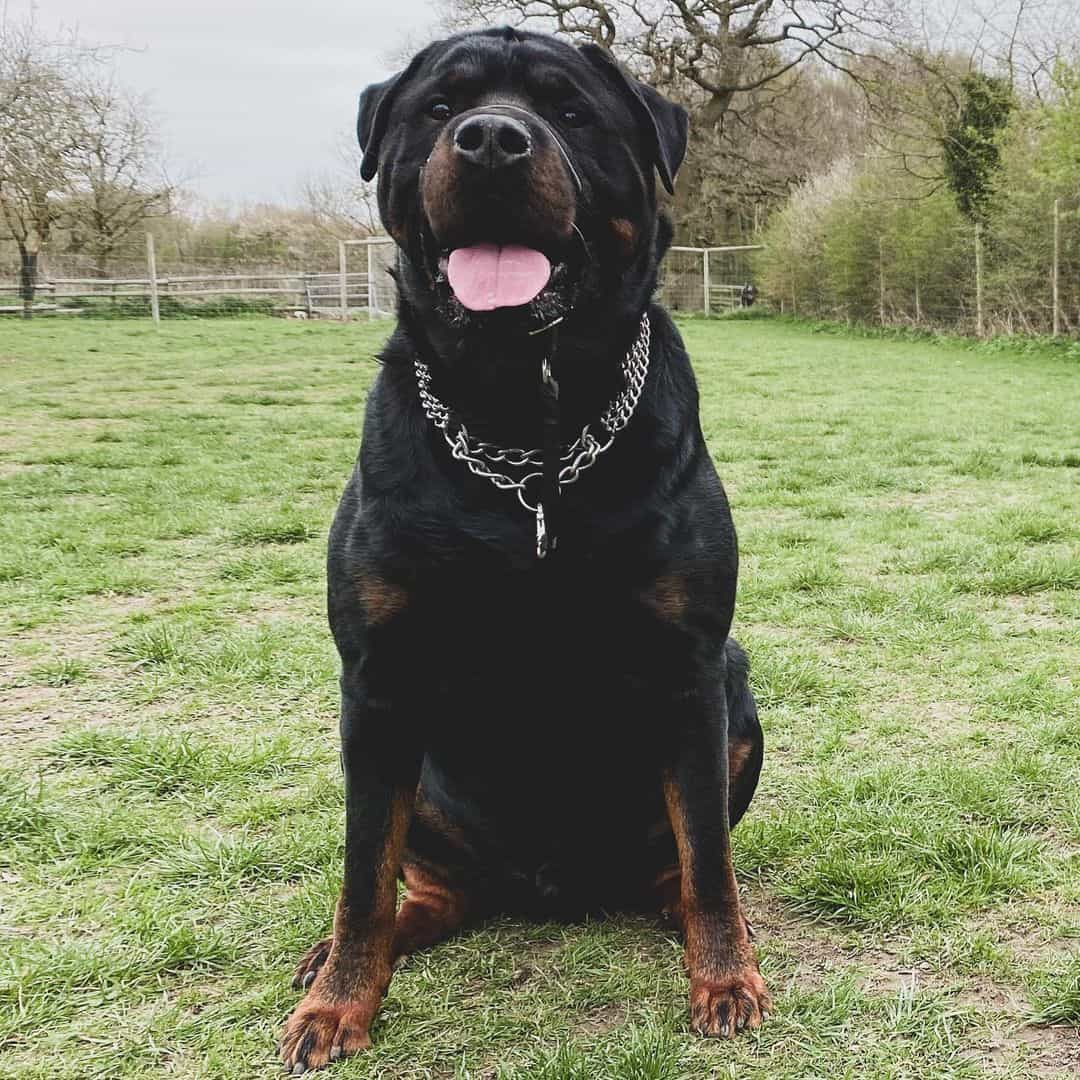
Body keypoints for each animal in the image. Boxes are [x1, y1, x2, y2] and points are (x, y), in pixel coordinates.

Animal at [278, 27, 768, 1071]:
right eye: (438, 107)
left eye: (572, 111)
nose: (492, 140)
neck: (527, 437)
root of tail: (548, 890)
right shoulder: (376, 683)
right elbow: (360, 872)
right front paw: (339, 1005)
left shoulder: (691, 668)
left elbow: (709, 853)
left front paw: (725, 978)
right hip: (414, 773)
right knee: (415, 887)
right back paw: (342, 953)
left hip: (734, 697)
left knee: (683, 863)